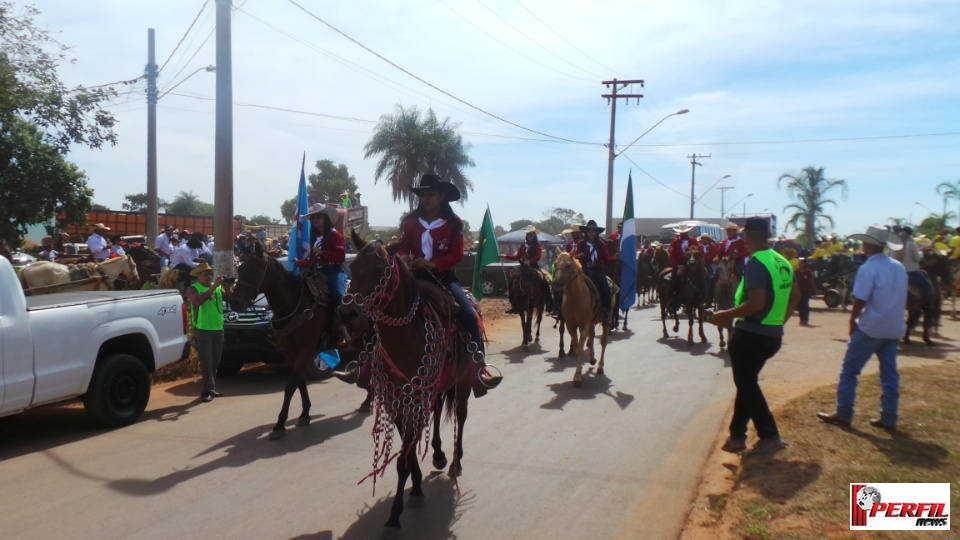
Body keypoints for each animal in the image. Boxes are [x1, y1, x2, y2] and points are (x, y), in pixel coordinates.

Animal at [229, 243, 338, 440]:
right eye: (239, 269)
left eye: (255, 270)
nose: (234, 302)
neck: (295, 304)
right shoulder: (291, 351)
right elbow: (299, 382)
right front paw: (304, 414)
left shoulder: (306, 349)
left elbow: (290, 386)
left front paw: (280, 424)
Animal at [348, 232, 476, 536]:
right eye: (351, 268)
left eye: (379, 270)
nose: (348, 315)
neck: (404, 338)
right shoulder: (397, 399)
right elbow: (408, 450)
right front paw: (416, 487)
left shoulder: (416, 397)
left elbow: (404, 457)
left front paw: (394, 516)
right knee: (438, 412)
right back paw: (439, 455)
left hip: (463, 382)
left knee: (461, 416)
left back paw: (455, 461)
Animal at [552, 253, 612, 388]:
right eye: (555, 263)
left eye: (568, 265)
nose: (556, 284)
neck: (576, 297)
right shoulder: (571, 326)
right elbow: (576, 348)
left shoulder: (583, 325)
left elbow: (579, 350)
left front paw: (577, 376)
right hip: (591, 322)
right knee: (592, 335)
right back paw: (592, 359)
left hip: (606, 320)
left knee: (604, 342)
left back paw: (600, 367)